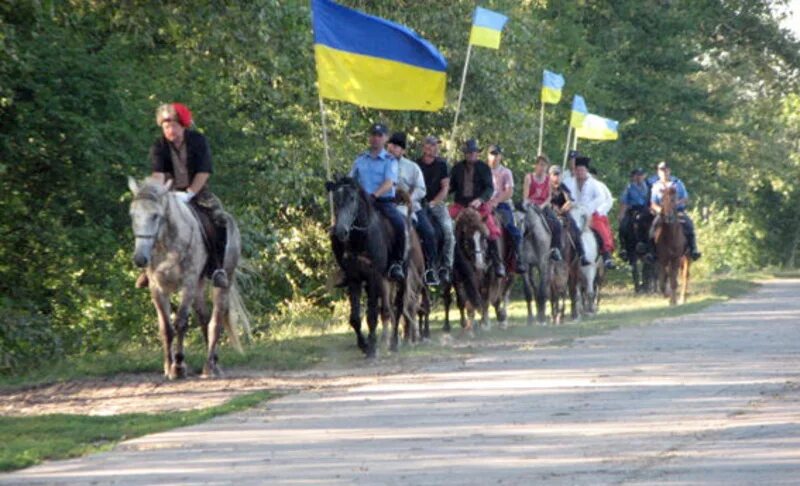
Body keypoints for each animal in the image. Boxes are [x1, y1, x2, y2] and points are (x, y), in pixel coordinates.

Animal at [127, 178, 250, 380]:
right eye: (133, 215)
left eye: (155, 216)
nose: (140, 259)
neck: (168, 246)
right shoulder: (157, 289)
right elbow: (166, 328)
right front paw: (168, 366)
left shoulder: (188, 285)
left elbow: (181, 323)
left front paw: (178, 366)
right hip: (199, 287)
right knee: (204, 318)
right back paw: (214, 361)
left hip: (222, 283)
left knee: (215, 322)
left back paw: (209, 366)